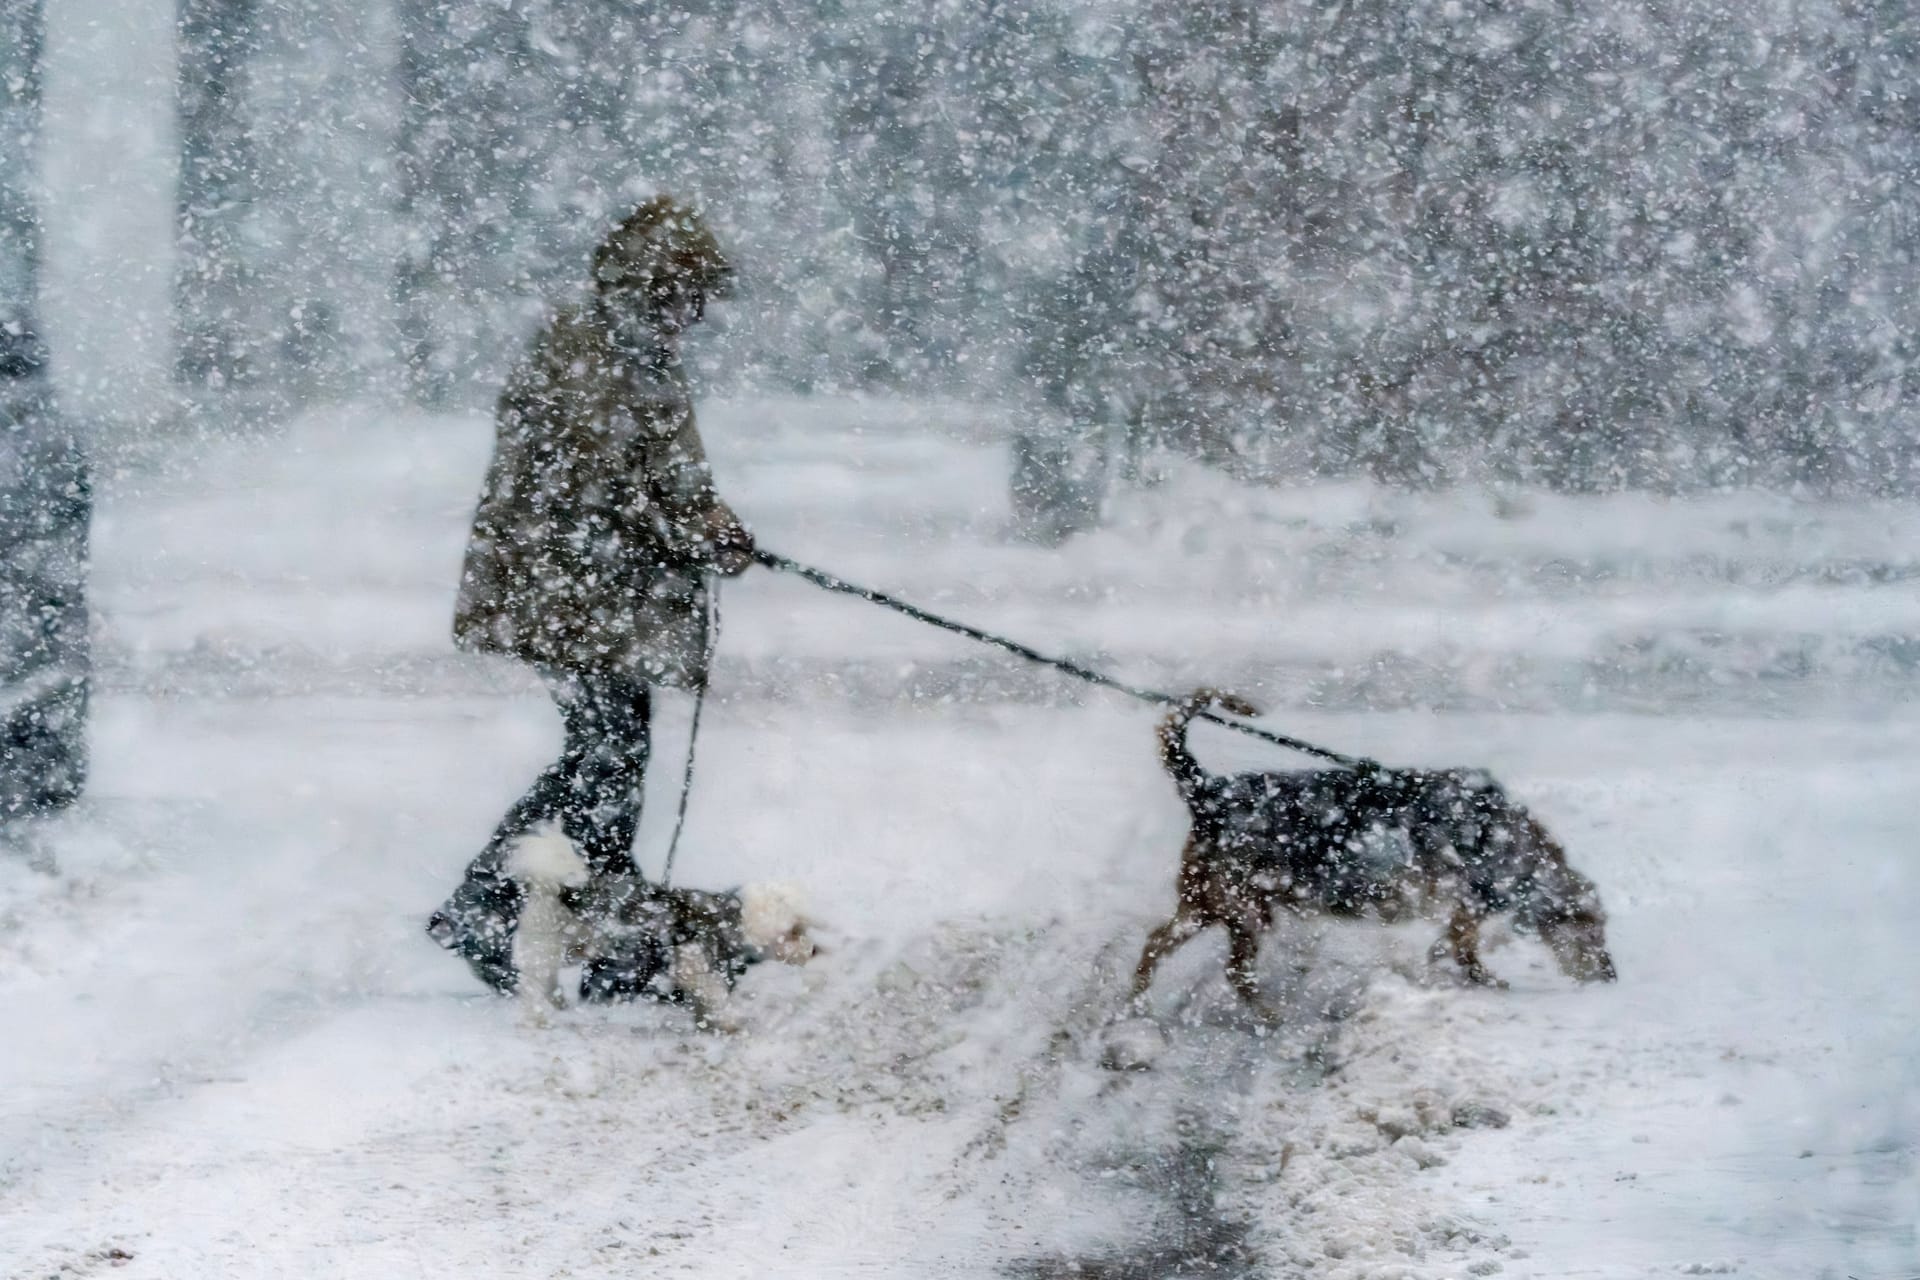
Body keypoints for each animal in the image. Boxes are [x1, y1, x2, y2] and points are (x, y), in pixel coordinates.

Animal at [1128, 690, 1612, 1020]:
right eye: (1594, 928)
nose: (1612, 978)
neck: (1516, 850)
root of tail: (1207, 791)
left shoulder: (1462, 909)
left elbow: (1452, 945)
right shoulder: (1468, 905)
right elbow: (1464, 948)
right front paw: (1487, 981)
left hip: (1213, 905)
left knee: (1158, 945)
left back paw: (1136, 1004)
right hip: (1240, 908)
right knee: (1230, 971)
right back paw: (1266, 1015)